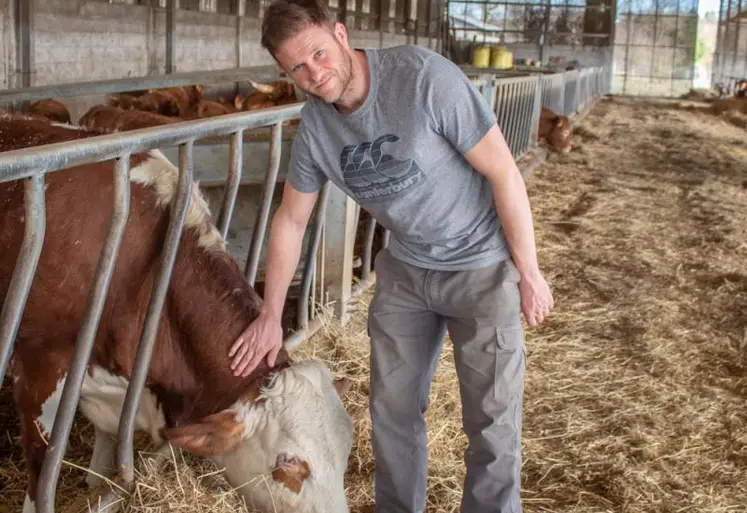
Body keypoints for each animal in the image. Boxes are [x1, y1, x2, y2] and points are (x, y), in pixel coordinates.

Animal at [0, 114, 356, 512]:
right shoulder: (38, 365)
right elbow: (41, 465)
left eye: (347, 448)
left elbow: (107, 440)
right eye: (289, 460)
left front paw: (96, 483)